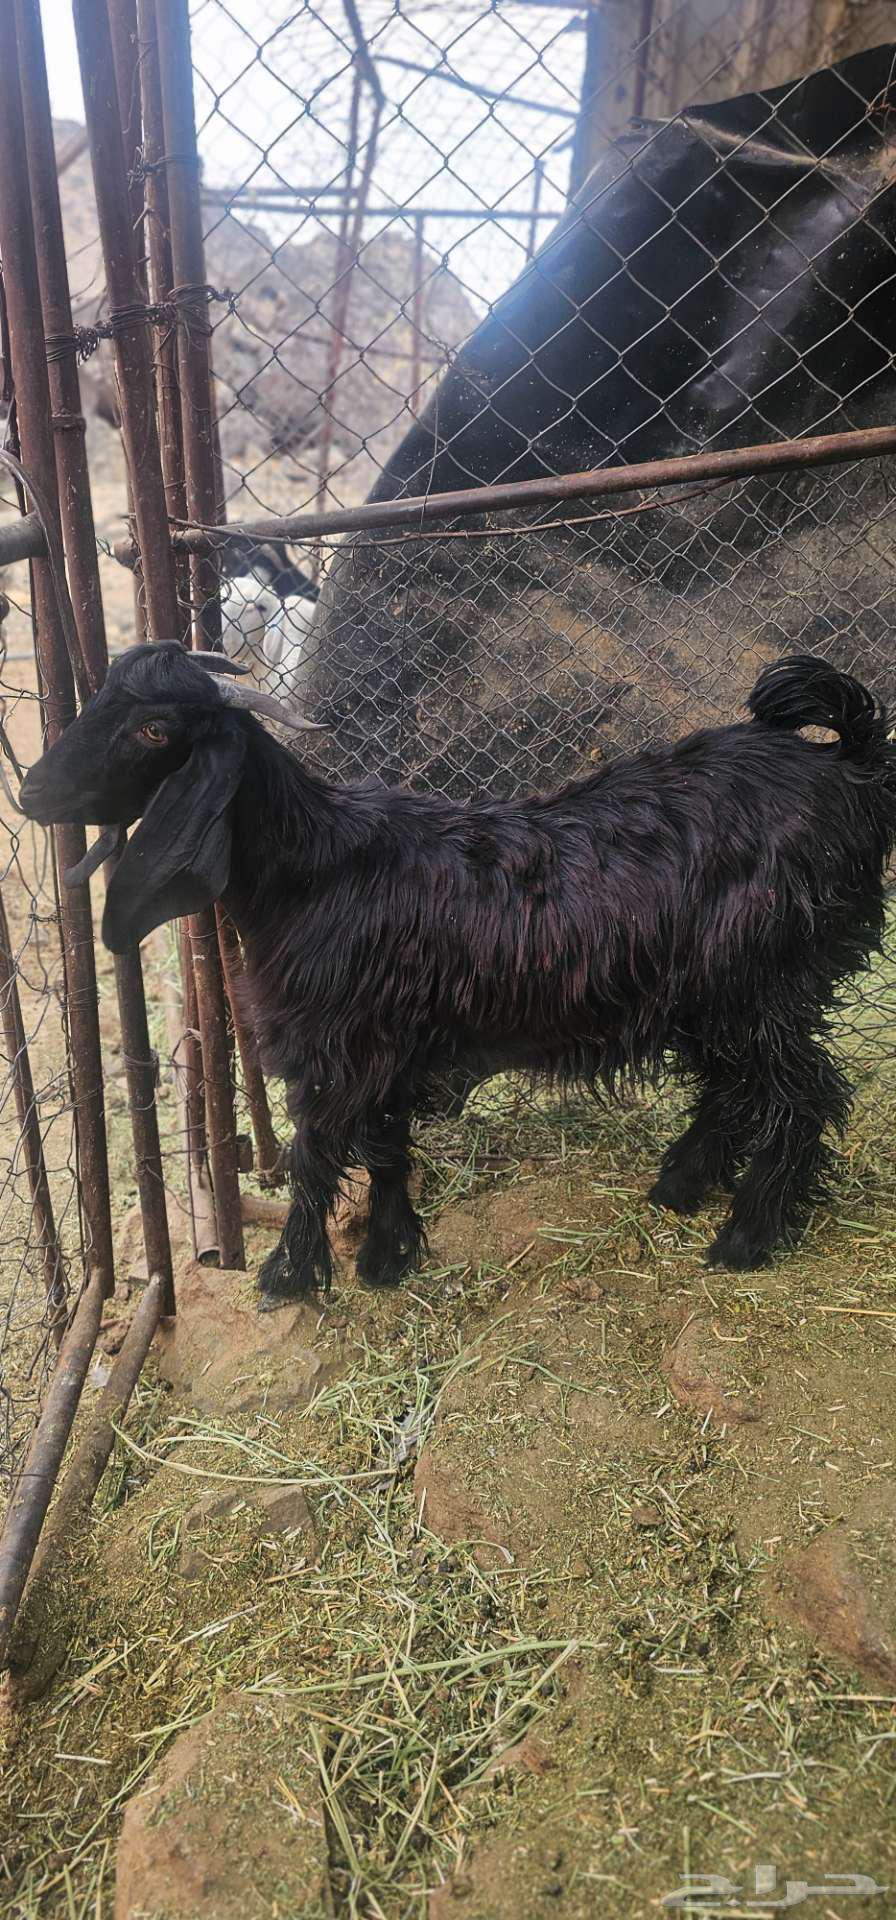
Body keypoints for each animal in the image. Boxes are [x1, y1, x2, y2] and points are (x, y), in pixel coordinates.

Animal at [20, 646, 896, 1302]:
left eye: (153, 728)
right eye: (99, 700)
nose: (31, 792)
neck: (311, 872)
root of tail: (851, 770)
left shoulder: (337, 1048)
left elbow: (314, 1156)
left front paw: (289, 1276)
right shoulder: (386, 1044)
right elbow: (384, 1145)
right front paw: (388, 1255)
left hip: (761, 984)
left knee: (800, 1094)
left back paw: (746, 1234)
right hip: (712, 997)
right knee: (732, 1089)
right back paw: (679, 1186)